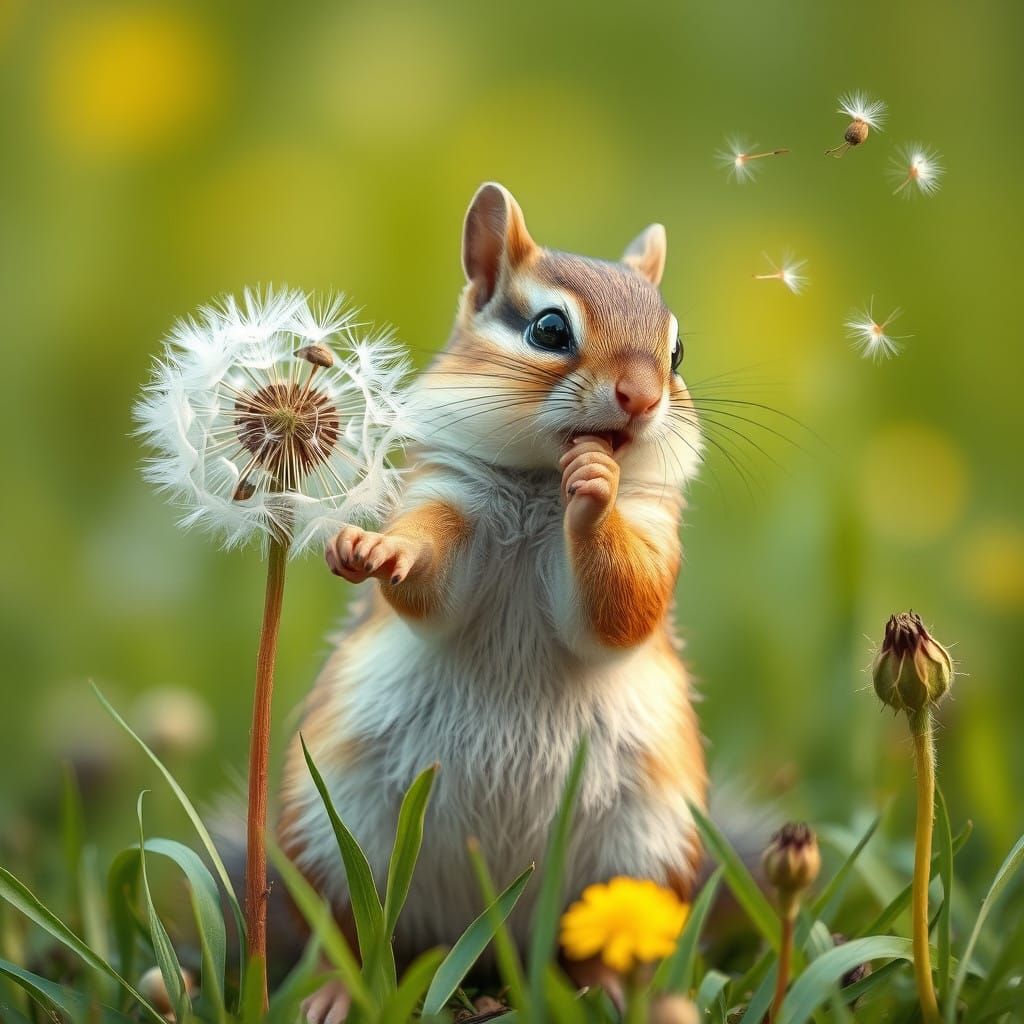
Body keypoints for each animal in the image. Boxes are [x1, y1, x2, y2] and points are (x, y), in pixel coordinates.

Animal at [278, 182, 707, 1023]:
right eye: (549, 329)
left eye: (676, 354)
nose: (640, 399)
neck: (542, 487)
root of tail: (486, 931)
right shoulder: (448, 498)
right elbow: (429, 572)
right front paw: (375, 551)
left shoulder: (655, 532)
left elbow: (624, 604)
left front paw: (596, 492)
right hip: (329, 832)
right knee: (342, 935)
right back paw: (334, 995)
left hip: (647, 848)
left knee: (606, 940)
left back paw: (611, 991)